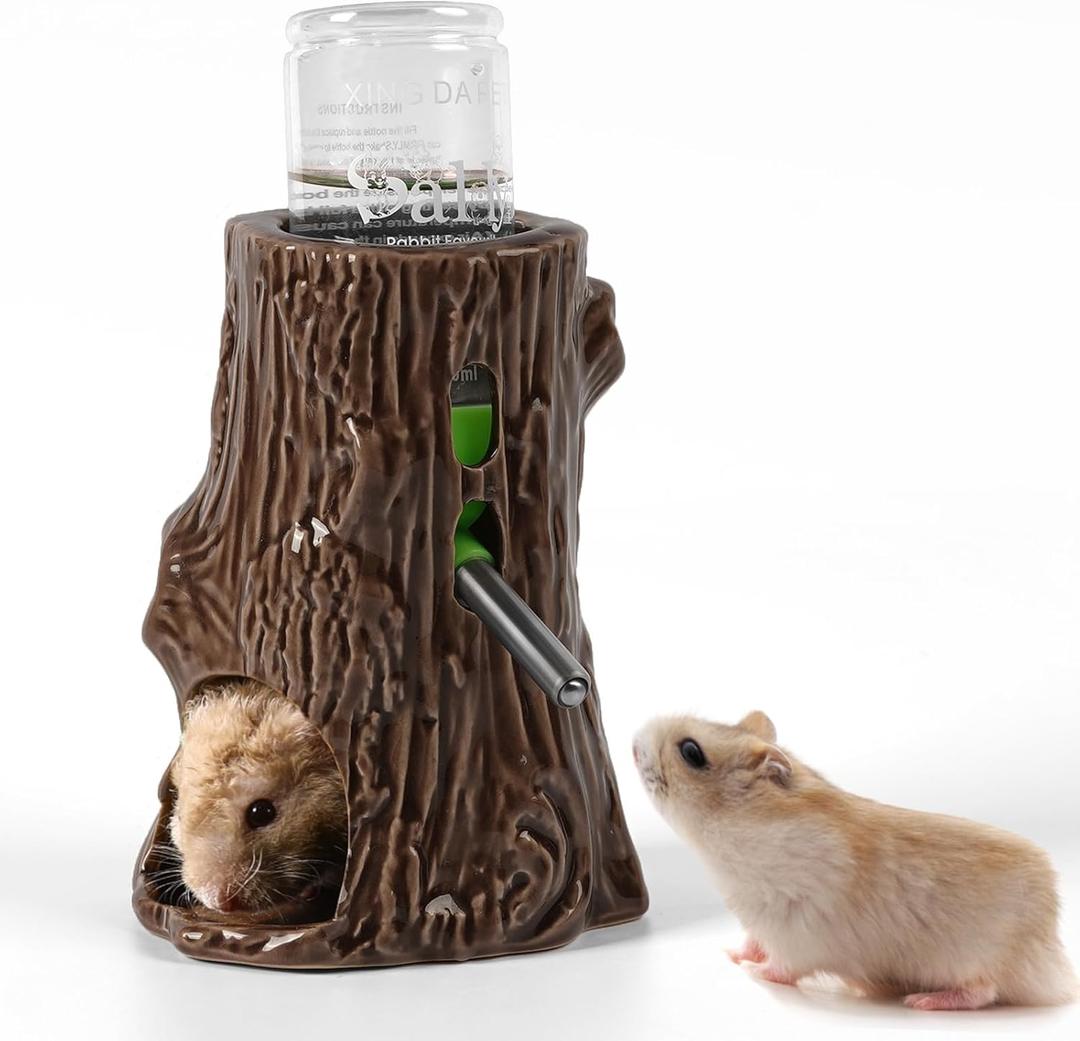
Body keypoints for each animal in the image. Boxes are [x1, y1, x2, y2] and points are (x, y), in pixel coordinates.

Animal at [634, 711, 1078, 1010]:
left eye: (691, 752)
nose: (634, 741)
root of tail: (1056, 967)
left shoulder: (798, 933)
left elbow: (782, 968)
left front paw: (751, 971)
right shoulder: (761, 921)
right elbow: (752, 940)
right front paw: (734, 954)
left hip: (977, 957)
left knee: (983, 990)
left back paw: (923, 1000)